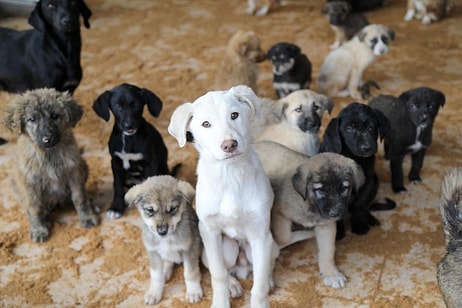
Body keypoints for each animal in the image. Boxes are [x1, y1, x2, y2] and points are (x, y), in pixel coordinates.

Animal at [91, 83, 170, 220]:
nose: (129, 125)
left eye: (136, 105)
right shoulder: (115, 162)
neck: (128, 138)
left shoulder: (150, 163)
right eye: (117, 106)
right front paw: (116, 208)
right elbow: (117, 187)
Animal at [124, 174, 202, 304]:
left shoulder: (189, 249)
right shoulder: (153, 253)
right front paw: (154, 292)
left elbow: (190, 272)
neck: (166, 239)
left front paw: (193, 291)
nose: (162, 232)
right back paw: (166, 271)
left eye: (172, 209)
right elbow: (156, 276)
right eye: (150, 210)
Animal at [169, 85, 278, 308]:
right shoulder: (209, 232)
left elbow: (259, 284)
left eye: (234, 115)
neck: (230, 175)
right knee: (224, 269)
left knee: (265, 268)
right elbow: (218, 274)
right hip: (222, 249)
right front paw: (221, 301)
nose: (229, 145)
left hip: (271, 245)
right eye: (206, 124)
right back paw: (233, 285)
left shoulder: (261, 236)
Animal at [253, 141, 364, 290]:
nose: (335, 213)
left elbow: (328, 251)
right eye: (321, 190)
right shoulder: (277, 213)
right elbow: (283, 237)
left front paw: (331, 274)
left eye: (344, 188)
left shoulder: (326, 225)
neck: (310, 205)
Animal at [320, 101, 396, 238]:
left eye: (371, 127)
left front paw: (360, 224)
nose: (367, 147)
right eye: (349, 129)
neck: (353, 157)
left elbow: (360, 204)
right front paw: (337, 232)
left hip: (375, 182)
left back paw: (370, 218)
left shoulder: (366, 182)